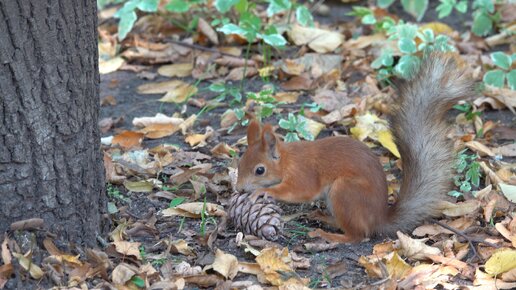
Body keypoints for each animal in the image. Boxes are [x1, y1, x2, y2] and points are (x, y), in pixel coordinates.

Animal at [236, 53, 474, 244]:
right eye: (240, 163)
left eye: (259, 170)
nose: (238, 189)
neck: (287, 160)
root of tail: (379, 219)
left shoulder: (303, 175)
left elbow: (299, 191)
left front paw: (264, 192)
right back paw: (322, 218)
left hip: (345, 192)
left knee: (357, 236)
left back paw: (327, 235)